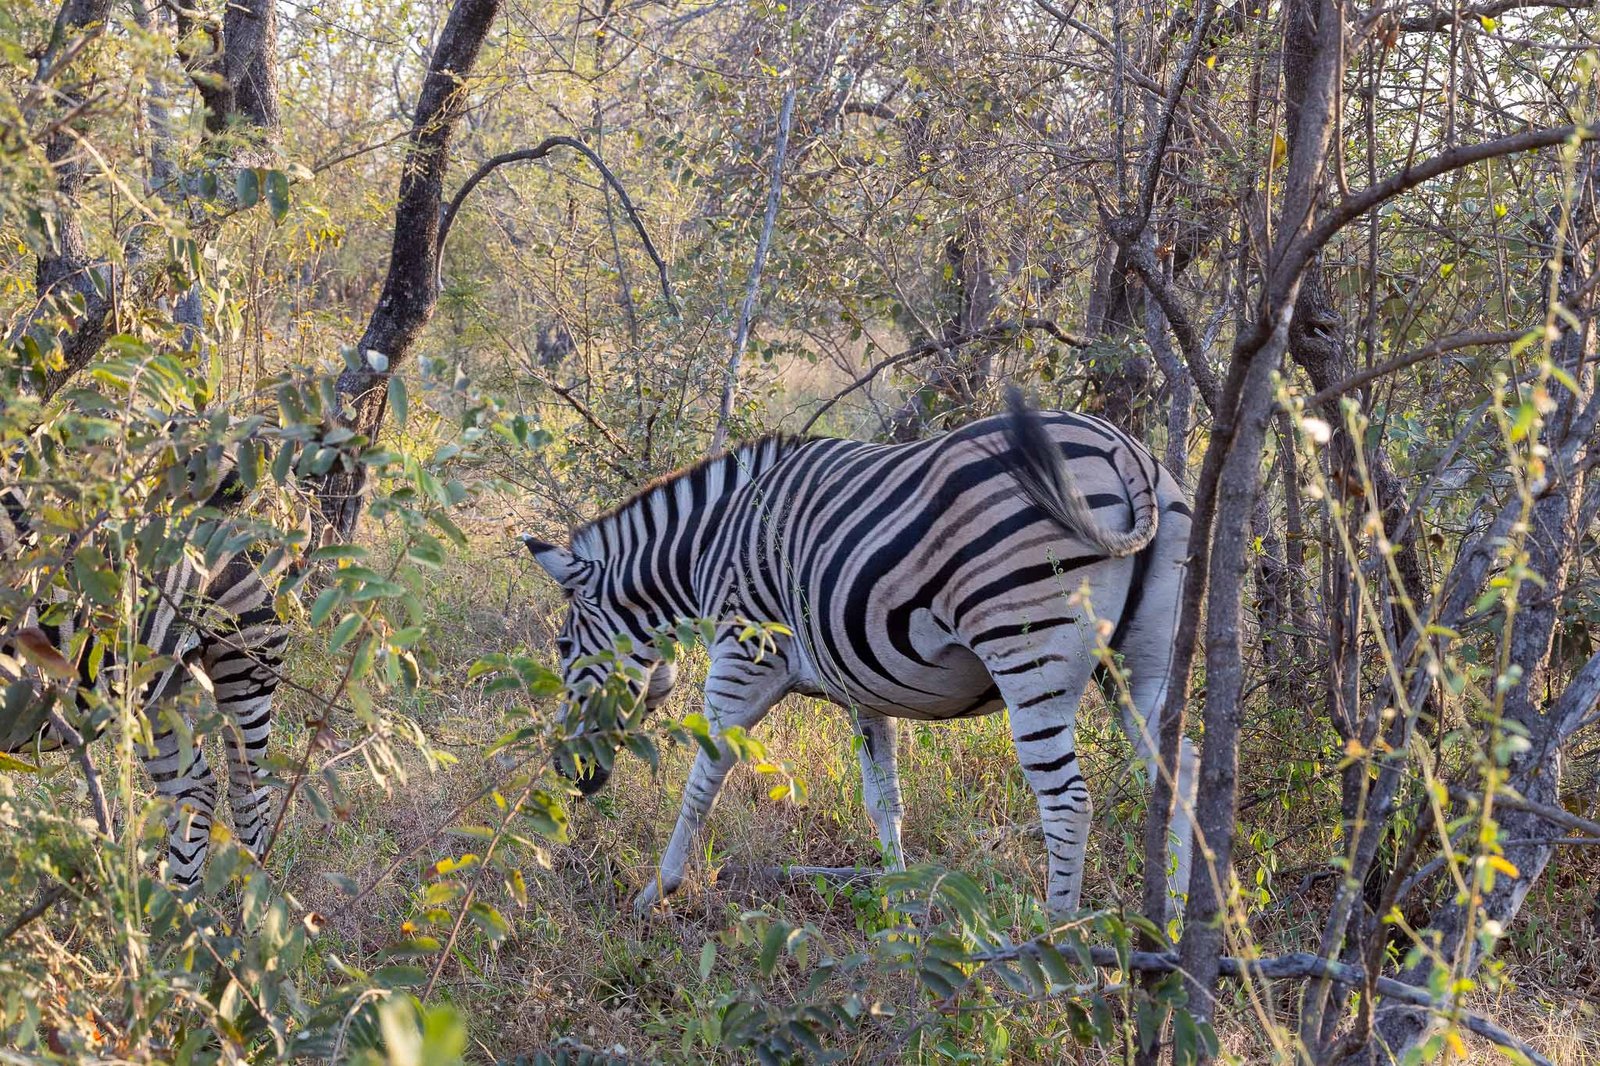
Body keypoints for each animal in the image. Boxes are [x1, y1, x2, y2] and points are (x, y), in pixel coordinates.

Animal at [0, 453, 288, 891]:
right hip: (154, 690)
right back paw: (175, 905)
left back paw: (253, 905)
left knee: (248, 794)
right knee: (194, 791)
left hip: (245, 662)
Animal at [523, 391, 1199, 919]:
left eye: (562, 648)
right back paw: (1174, 926)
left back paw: (1053, 944)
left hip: (1027, 648)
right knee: (1179, 775)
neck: (706, 549)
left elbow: (703, 777)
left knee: (1067, 804)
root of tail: (1122, 450)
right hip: (1146, 658)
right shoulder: (862, 683)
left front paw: (657, 889)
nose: (567, 774)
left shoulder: (744, 657)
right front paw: (899, 909)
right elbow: (884, 801)